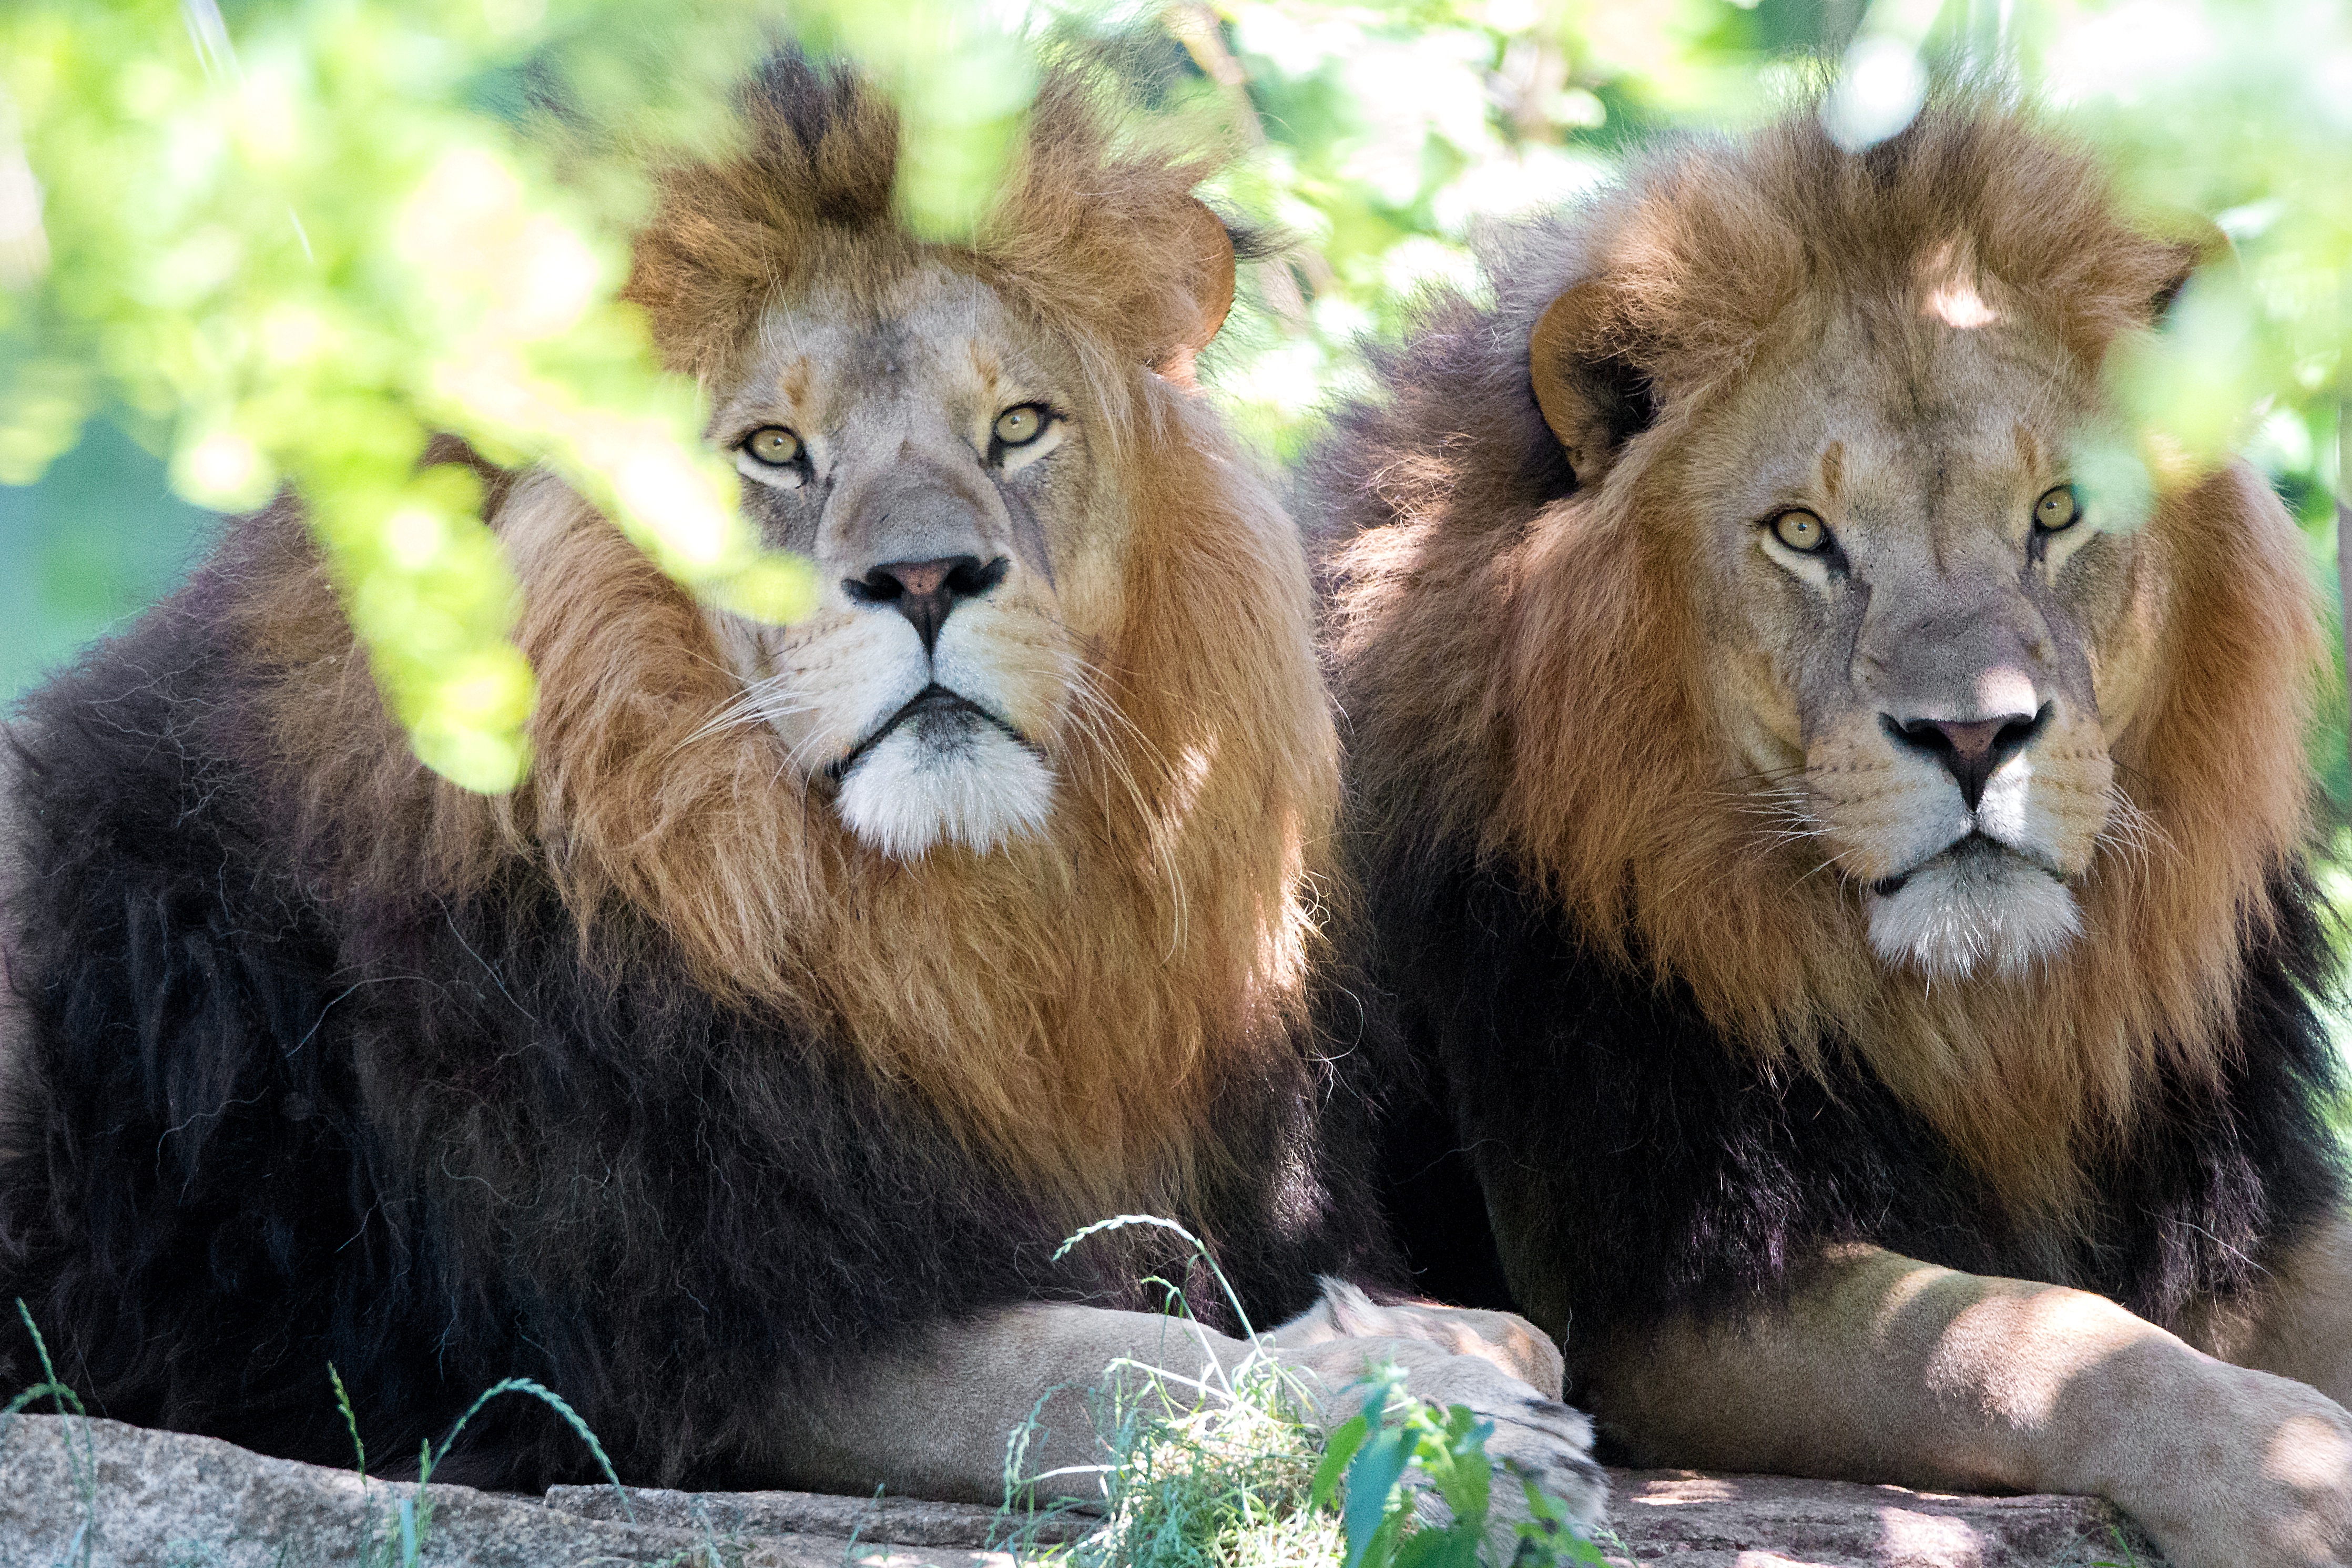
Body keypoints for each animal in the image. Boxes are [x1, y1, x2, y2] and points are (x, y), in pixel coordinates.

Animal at [0, 55, 1599, 1523]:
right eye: (772, 450)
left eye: (1019, 426)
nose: (927, 578)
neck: (902, 927)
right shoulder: (700, 1340)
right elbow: (1114, 1363)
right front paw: (1444, 1424)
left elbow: (1412, 1318)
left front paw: (1432, 1337)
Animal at [1317, 101, 2352, 1568]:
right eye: (1803, 534)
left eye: (2056, 513)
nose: (1976, 737)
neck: (1982, 1023)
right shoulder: (1664, 1285)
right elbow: (2021, 1331)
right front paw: (2289, 1473)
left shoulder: (2240, 1205)